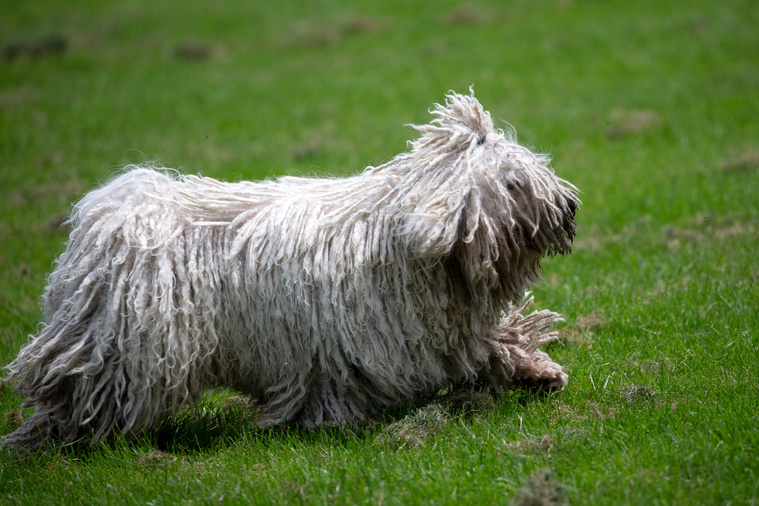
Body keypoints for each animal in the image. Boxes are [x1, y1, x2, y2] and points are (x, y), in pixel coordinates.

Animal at [2, 90, 580, 450]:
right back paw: (42, 441)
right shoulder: (340, 345)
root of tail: (113, 210)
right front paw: (325, 423)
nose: (571, 206)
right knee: (76, 396)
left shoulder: (442, 331)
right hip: (121, 347)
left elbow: (494, 344)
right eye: (514, 182)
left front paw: (537, 370)